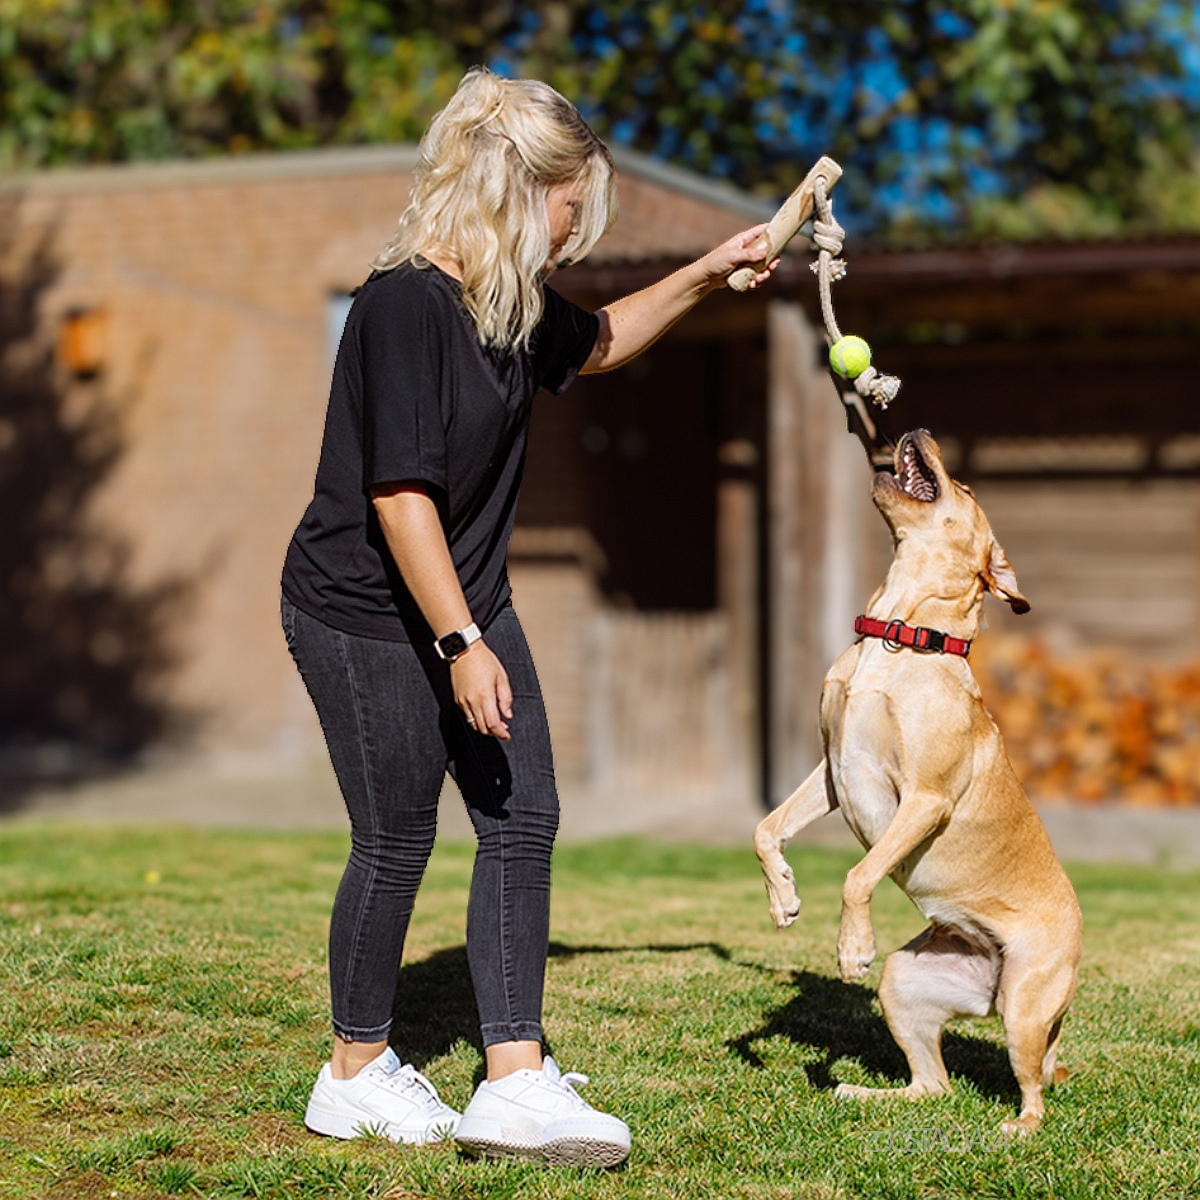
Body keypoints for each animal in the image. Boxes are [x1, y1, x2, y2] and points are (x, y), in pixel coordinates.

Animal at [758, 429, 1089, 1132]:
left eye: (964, 488)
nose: (921, 431)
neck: (900, 637)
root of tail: (989, 990)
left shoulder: (924, 798)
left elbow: (859, 876)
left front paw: (851, 947)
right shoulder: (831, 773)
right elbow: (766, 829)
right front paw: (783, 898)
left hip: (1026, 1003)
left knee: (1033, 1093)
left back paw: (1016, 1129)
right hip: (906, 985)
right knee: (933, 1086)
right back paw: (859, 1092)